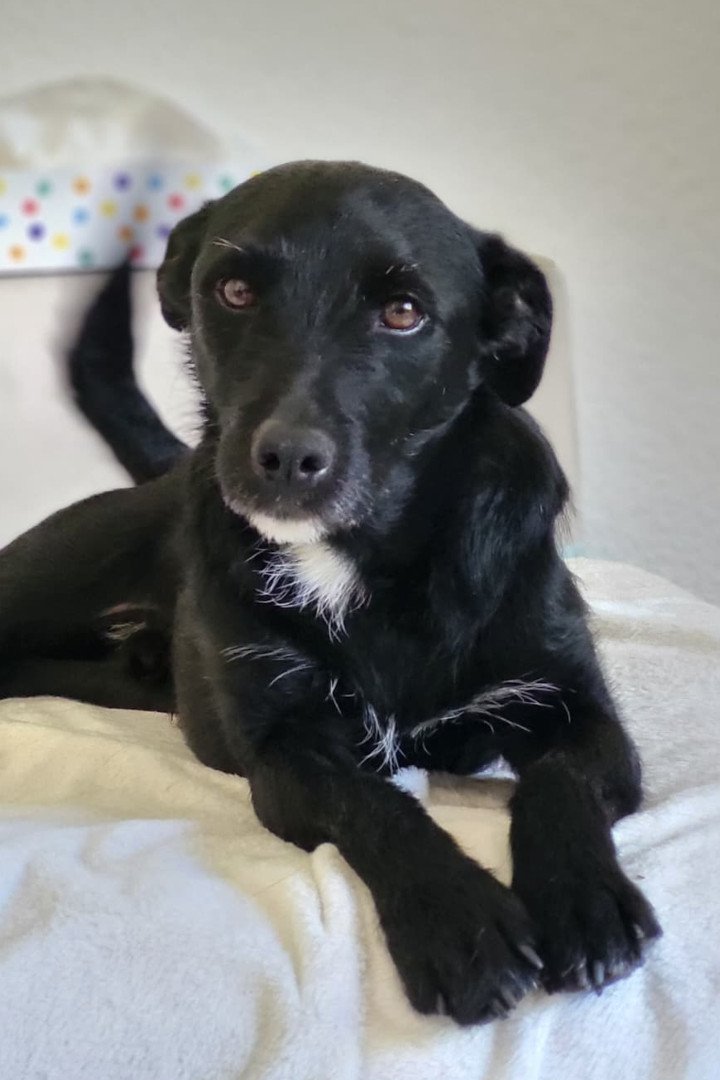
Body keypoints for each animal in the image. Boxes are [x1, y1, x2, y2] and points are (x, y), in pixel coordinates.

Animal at [0, 160, 661, 1025]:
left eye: (404, 312)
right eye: (234, 292)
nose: (286, 457)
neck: (359, 558)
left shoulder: (577, 710)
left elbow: (560, 782)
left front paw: (585, 900)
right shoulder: (283, 750)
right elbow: (374, 801)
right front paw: (460, 921)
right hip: (48, 577)